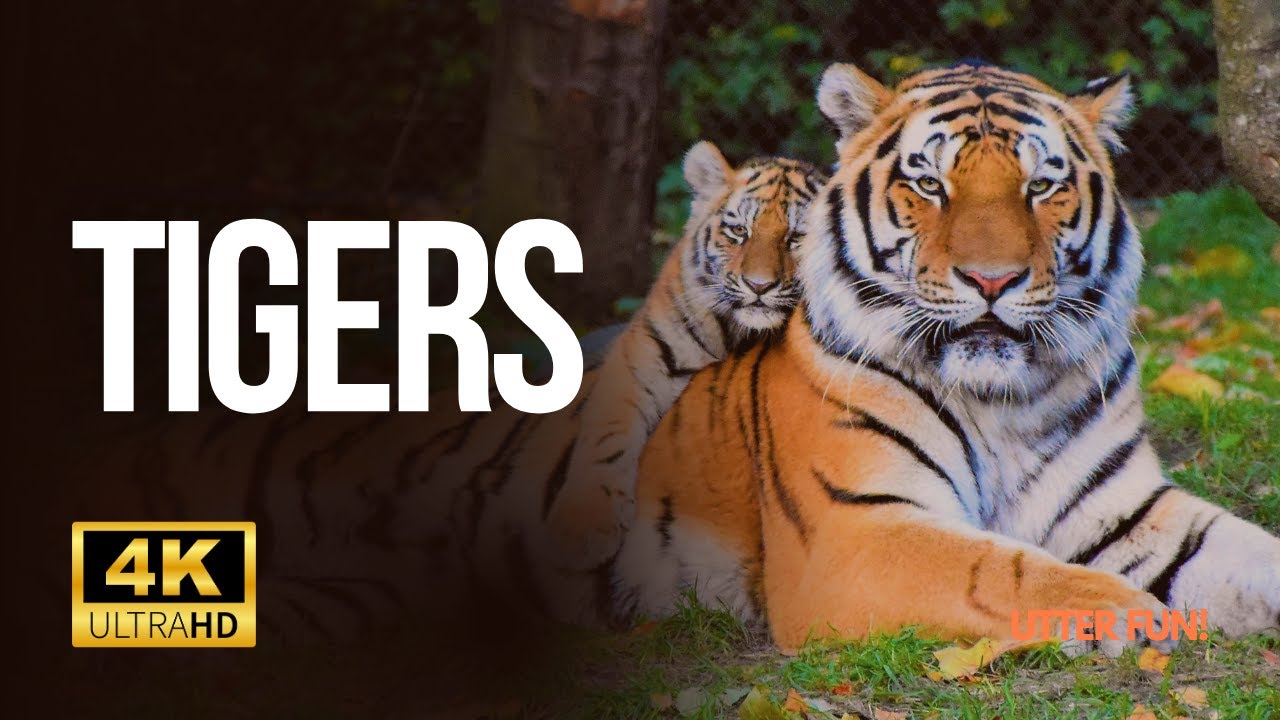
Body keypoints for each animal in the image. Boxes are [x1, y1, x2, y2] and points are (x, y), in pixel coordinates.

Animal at [544, 142, 825, 565]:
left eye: (796, 237)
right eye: (739, 231)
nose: (759, 286)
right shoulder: (645, 352)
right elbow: (607, 431)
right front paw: (584, 525)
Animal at [610, 61, 1280, 655]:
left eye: (1040, 187)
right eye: (929, 184)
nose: (992, 280)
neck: (1003, 403)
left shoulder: (1126, 511)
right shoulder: (853, 532)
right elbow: (999, 568)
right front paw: (1128, 609)